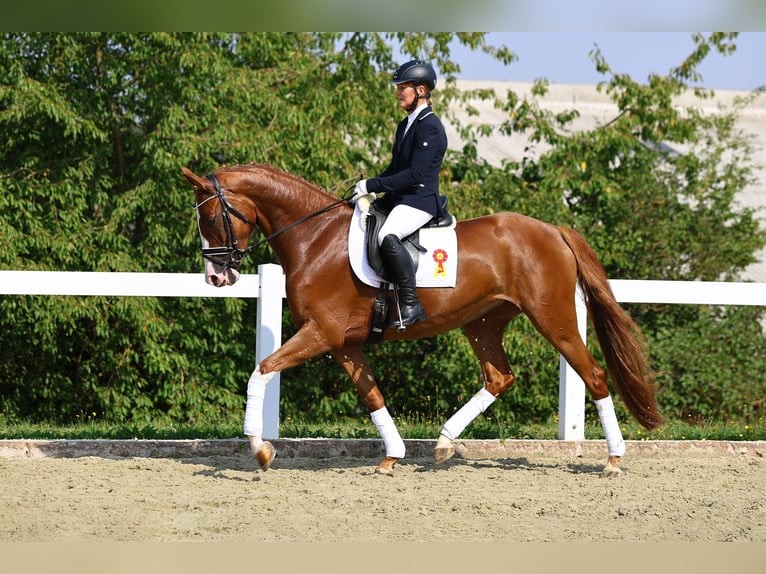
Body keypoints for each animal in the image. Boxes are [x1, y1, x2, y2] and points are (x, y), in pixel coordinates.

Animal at [183, 161, 664, 476]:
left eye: (210, 217)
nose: (217, 277)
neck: (314, 239)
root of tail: (554, 230)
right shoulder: (344, 342)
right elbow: (372, 395)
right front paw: (392, 456)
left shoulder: (321, 333)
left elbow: (262, 370)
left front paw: (260, 450)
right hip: (482, 323)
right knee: (499, 377)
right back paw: (444, 443)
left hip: (554, 319)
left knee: (594, 375)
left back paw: (614, 460)